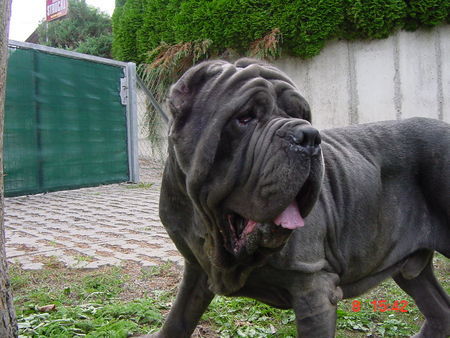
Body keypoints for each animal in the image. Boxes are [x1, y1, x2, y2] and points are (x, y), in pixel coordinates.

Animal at [147, 58, 446, 338]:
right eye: (244, 118)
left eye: (302, 115)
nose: (309, 137)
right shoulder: (196, 270)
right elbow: (179, 317)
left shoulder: (314, 288)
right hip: (411, 269)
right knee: (440, 309)